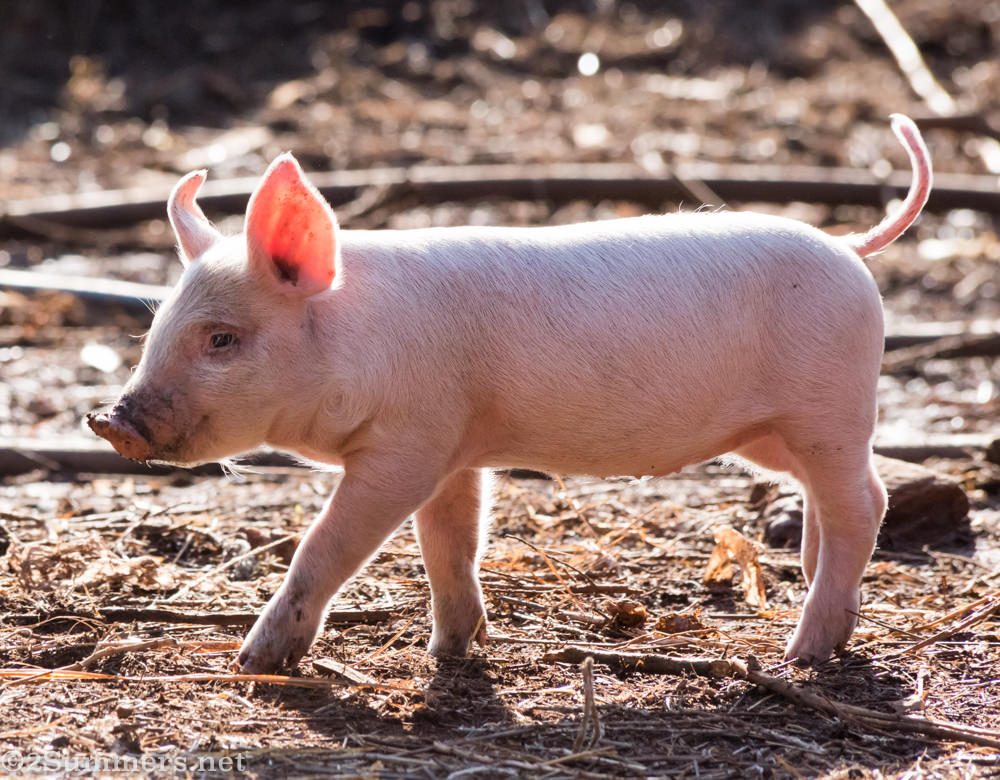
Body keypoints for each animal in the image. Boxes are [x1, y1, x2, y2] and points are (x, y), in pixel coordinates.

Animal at [88, 114, 931, 674]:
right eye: (157, 323)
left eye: (222, 340)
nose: (111, 420)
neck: (360, 339)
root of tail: (849, 247)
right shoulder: (454, 448)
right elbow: (450, 543)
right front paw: (451, 649)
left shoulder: (406, 444)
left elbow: (327, 545)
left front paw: (253, 662)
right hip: (775, 433)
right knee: (844, 497)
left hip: (828, 407)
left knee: (866, 502)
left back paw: (804, 652)